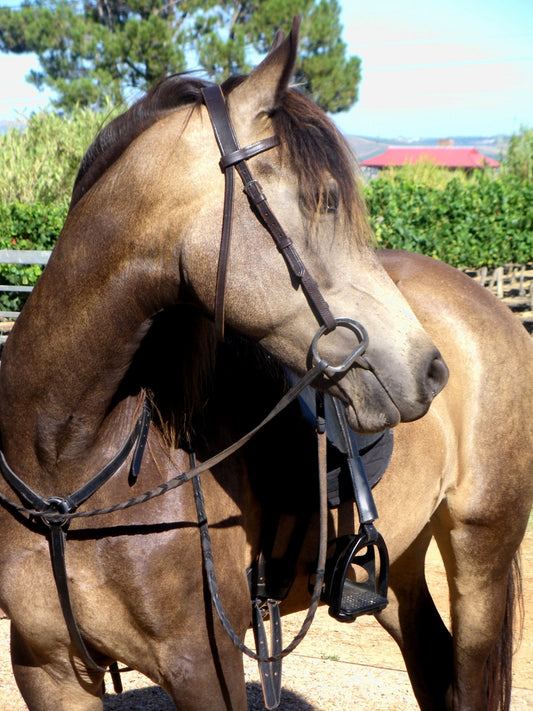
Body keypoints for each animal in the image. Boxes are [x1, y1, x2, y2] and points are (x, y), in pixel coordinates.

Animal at [0, 15, 448, 711]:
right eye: (324, 200)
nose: (429, 368)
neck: (64, 470)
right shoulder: (45, 669)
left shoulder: (205, 668)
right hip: (403, 569)